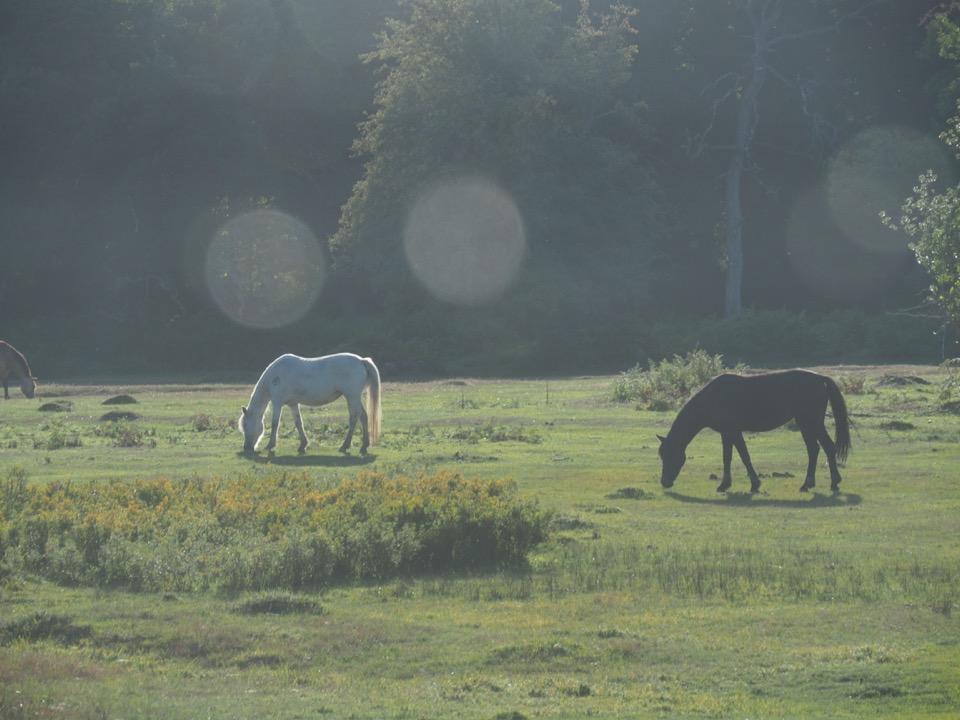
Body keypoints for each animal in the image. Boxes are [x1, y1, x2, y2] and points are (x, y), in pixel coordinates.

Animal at [238, 354, 380, 456]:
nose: (247, 447)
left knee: (363, 417)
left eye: (245, 425)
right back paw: (345, 446)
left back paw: (364, 447)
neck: (274, 377)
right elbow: (298, 423)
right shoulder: (292, 404)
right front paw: (303, 445)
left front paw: (270, 445)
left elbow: (274, 423)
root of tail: (361, 360)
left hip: (353, 397)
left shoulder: (277, 402)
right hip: (351, 398)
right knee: (353, 419)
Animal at [656, 372, 852, 496]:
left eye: (670, 455)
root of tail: (821, 378)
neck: (713, 399)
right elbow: (727, 458)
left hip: (808, 424)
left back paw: (811, 484)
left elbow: (744, 456)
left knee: (816, 449)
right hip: (813, 425)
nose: (664, 482)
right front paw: (725, 484)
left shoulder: (734, 432)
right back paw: (829, 483)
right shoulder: (726, 434)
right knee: (824, 447)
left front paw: (753, 484)